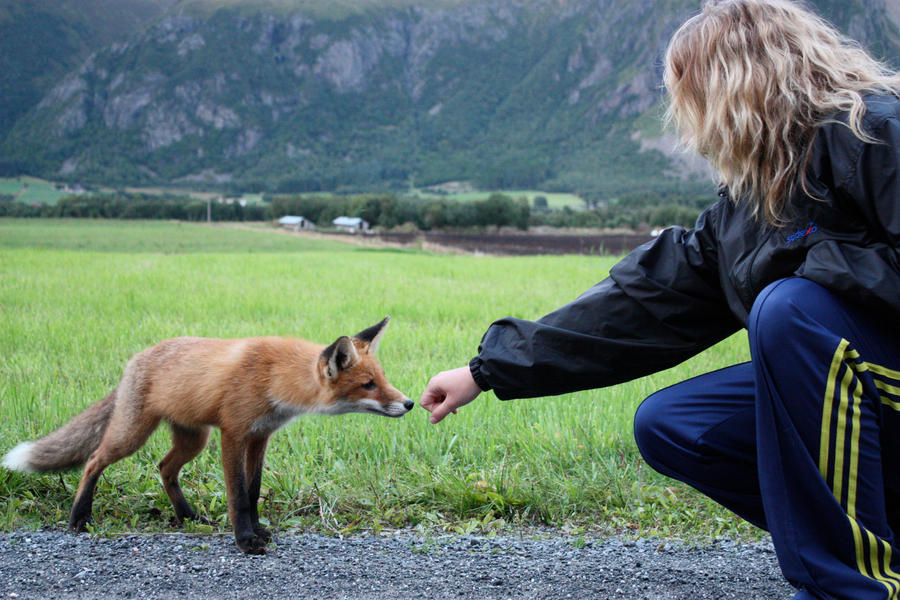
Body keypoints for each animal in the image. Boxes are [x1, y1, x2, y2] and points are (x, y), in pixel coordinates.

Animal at [1, 316, 412, 556]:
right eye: (368, 385)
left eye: (382, 379)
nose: (408, 403)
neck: (274, 378)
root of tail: (136, 360)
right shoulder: (233, 434)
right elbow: (238, 496)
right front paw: (245, 540)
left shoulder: (260, 437)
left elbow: (253, 492)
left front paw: (257, 530)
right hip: (133, 435)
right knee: (93, 461)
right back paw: (80, 517)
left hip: (193, 439)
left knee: (164, 468)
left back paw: (186, 515)